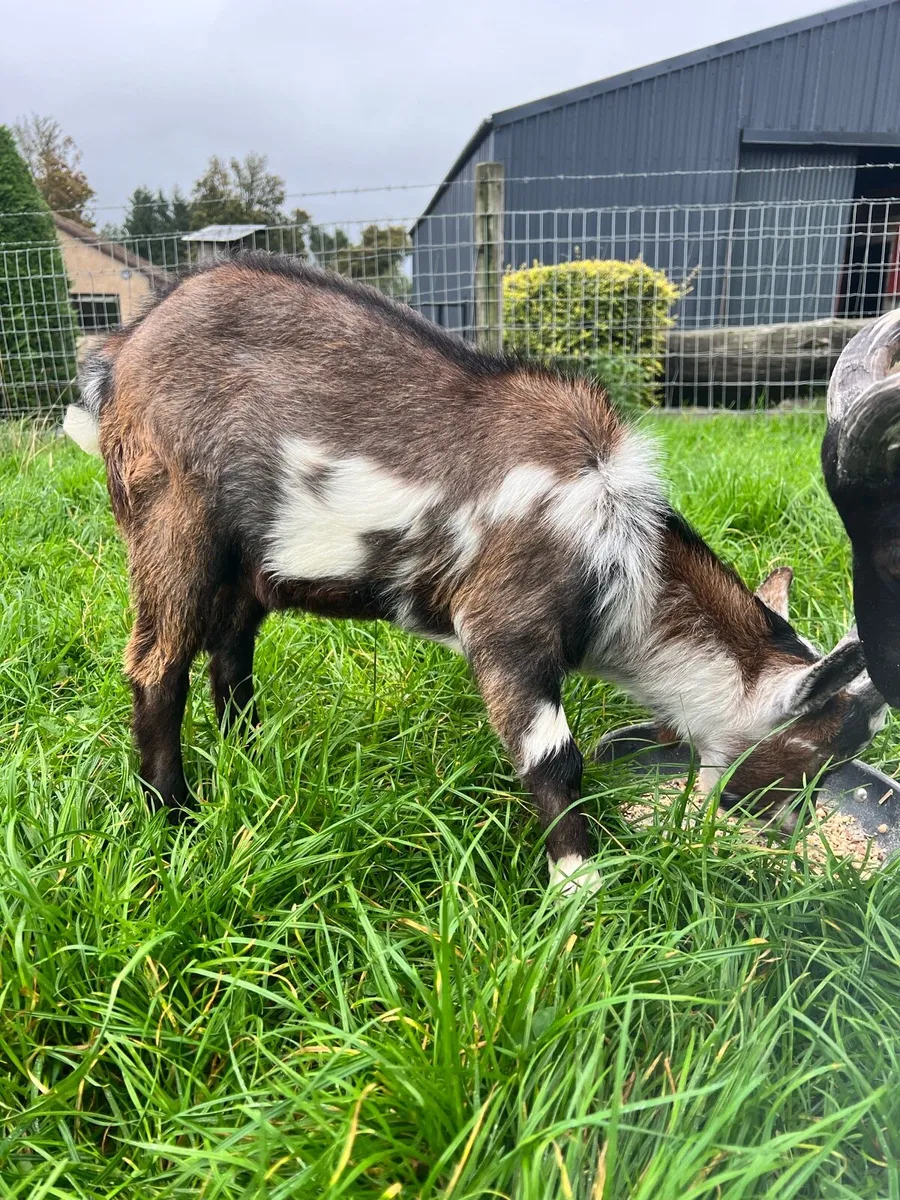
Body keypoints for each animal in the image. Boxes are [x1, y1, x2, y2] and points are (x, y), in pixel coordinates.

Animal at [63, 254, 885, 893]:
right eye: (816, 753)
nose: (790, 830)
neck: (622, 550)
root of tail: (123, 347)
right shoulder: (506, 627)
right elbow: (554, 760)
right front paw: (580, 897)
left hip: (250, 558)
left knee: (230, 652)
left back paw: (252, 759)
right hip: (169, 514)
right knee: (158, 662)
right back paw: (175, 816)